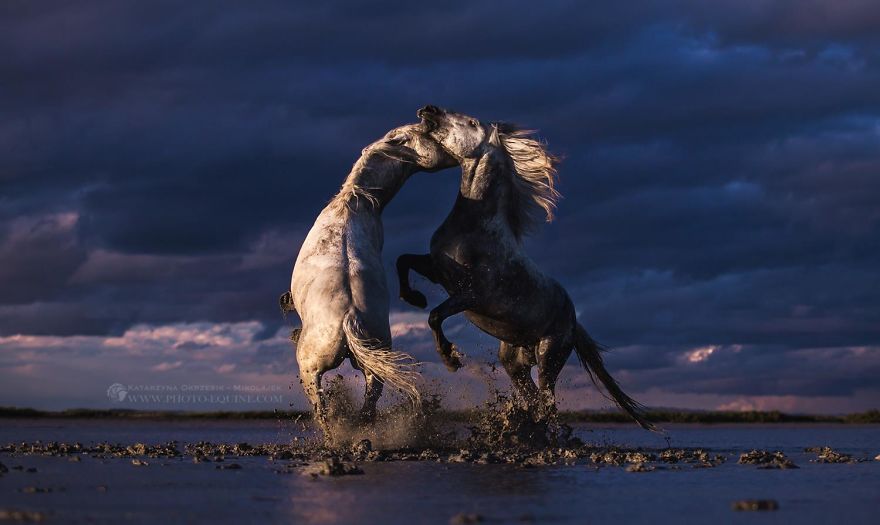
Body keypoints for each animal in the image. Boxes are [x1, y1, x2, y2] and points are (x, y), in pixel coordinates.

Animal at [286, 122, 456, 433]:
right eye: (426, 134)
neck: (354, 205)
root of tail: (348, 319)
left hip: (310, 372)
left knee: (323, 413)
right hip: (372, 370)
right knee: (368, 407)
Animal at [396, 105, 654, 430]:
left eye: (471, 122)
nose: (428, 110)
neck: (474, 228)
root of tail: (573, 320)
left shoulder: (470, 295)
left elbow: (434, 316)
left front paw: (450, 359)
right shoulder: (437, 271)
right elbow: (403, 260)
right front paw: (412, 298)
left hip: (549, 355)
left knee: (547, 401)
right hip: (513, 361)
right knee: (532, 398)